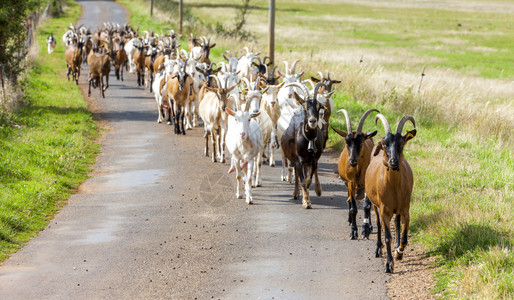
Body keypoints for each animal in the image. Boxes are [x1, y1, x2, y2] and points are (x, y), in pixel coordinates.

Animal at [330, 108, 378, 239]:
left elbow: (367, 206)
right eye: (347, 142)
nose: (352, 161)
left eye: (361, 142)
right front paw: (353, 231)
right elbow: (353, 208)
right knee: (349, 200)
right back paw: (350, 220)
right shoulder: (350, 183)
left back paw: (370, 226)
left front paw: (365, 230)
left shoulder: (367, 183)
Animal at [364, 113, 416, 274]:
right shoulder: (384, 210)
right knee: (379, 224)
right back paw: (378, 249)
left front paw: (398, 252)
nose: (393, 162)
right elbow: (387, 236)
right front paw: (388, 264)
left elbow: (404, 237)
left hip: (398, 208)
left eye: (401, 143)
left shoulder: (405, 209)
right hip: (375, 205)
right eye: (385, 143)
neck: (393, 188)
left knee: (397, 223)